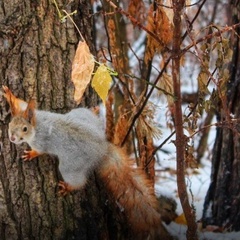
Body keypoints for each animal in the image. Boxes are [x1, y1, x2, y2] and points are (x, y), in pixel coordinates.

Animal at [2, 86, 173, 240]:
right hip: (79, 114)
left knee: (79, 181)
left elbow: (39, 151)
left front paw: (31, 154)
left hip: (70, 165)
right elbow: (22, 104)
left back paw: (68, 187)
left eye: (25, 129)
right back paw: (95, 110)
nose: (12, 138)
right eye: (10, 124)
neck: (37, 124)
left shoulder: (41, 142)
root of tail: (101, 149)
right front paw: (9, 95)